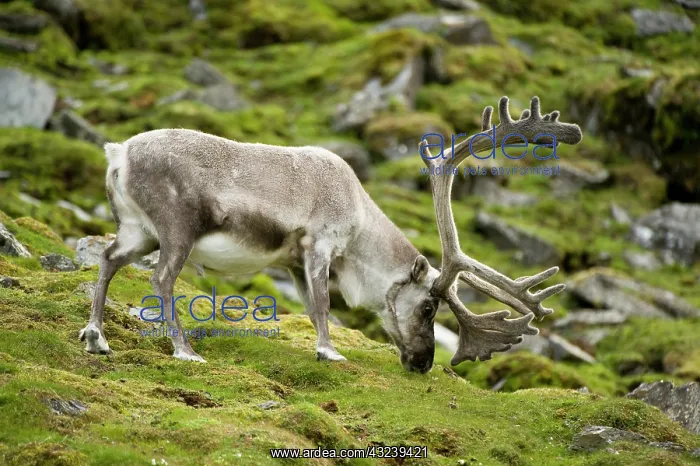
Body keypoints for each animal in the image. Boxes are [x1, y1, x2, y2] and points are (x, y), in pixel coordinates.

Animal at [79, 96, 582, 373]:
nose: (422, 364)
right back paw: (184, 351)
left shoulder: (291, 261)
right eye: (427, 306)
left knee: (106, 259)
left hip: (138, 231)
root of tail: (117, 152)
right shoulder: (320, 244)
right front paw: (330, 353)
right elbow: (324, 304)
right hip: (176, 230)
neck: (359, 219)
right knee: (161, 279)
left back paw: (96, 336)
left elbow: (309, 304)